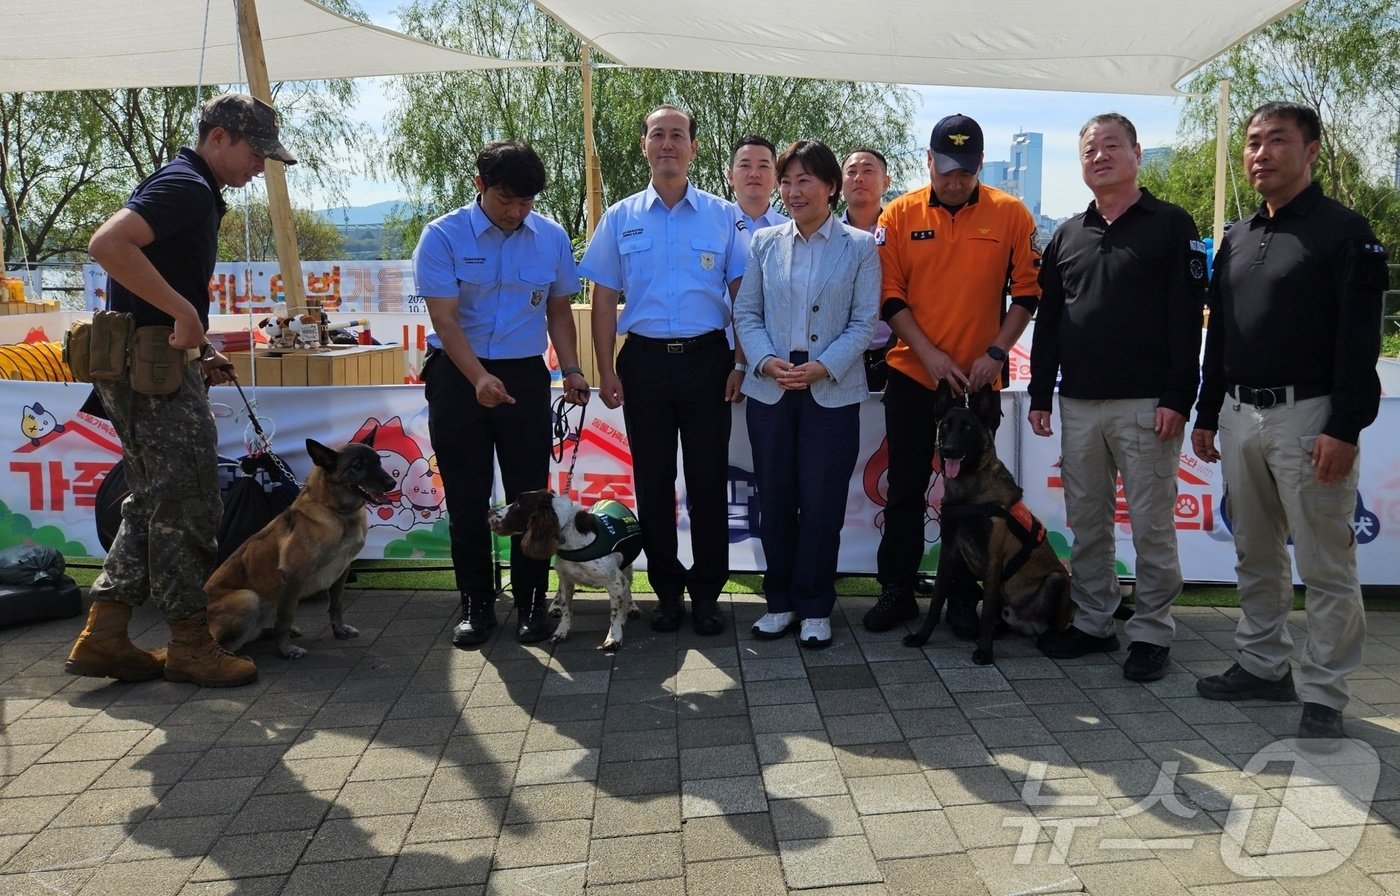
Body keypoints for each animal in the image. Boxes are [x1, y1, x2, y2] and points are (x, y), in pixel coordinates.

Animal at [203, 434, 392, 658]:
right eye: (358, 466)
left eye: (378, 462)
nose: (392, 482)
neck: (338, 513)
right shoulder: (293, 576)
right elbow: (286, 617)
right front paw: (285, 650)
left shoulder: (342, 571)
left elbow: (336, 604)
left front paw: (339, 629)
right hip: (247, 598)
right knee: (221, 642)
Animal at [490, 490, 641, 649]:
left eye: (518, 504)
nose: (489, 512)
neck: (568, 533)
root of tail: (610, 499)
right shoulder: (566, 579)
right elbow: (566, 609)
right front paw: (560, 632)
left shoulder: (615, 582)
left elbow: (616, 613)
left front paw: (614, 638)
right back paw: (555, 606)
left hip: (627, 566)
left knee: (628, 587)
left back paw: (631, 607)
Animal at [901, 386, 1075, 666]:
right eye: (945, 425)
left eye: (968, 427)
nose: (948, 450)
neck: (968, 492)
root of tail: (1026, 624)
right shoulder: (948, 552)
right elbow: (937, 600)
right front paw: (922, 636)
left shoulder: (993, 559)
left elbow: (985, 614)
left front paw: (984, 651)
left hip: (1057, 580)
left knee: (1055, 624)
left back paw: (1050, 640)